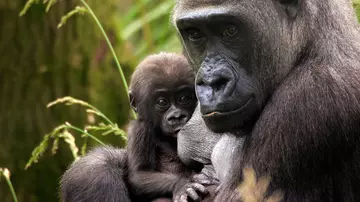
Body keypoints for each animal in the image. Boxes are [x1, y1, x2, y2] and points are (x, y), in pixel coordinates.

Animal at [126, 52, 207, 202]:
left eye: (184, 98)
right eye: (162, 102)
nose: (177, 116)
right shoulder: (140, 129)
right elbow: (139, 175)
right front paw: (183, 184)